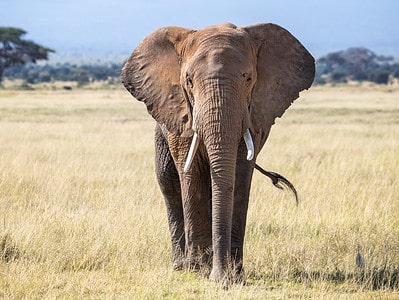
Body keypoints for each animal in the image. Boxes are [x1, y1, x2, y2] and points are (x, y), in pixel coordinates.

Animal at [122, 22, 316, 284]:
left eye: (248, 78)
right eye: (189, 81)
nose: (221, 279)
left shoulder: (253, 114)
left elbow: (240, 175)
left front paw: (233, 275)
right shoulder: (182, 111)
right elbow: (191, 173)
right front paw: (200, 272)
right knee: (168, 180)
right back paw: (181, 266)